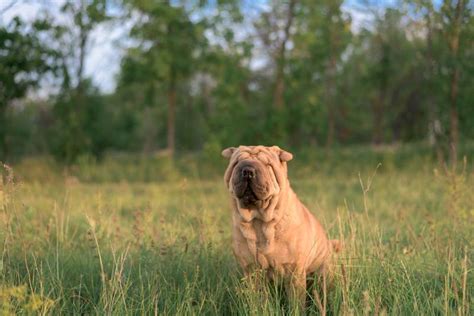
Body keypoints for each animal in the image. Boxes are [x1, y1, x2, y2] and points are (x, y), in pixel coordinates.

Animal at [222, 146, 340, 308]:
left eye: (267, 165)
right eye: (236, 163)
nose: (247, 170)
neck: (259, 221)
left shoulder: (294, 271)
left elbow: (296, 302)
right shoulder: (251, 270)